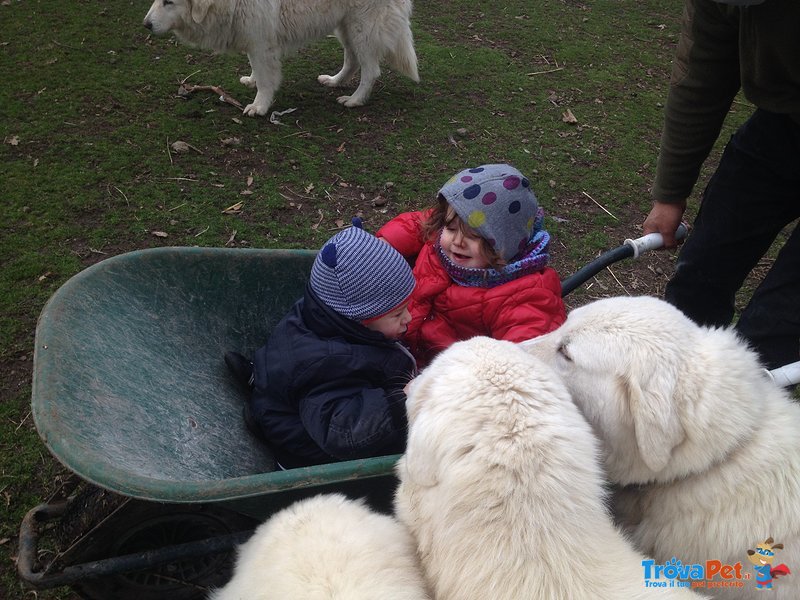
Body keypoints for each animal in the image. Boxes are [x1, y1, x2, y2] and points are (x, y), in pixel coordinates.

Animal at [144, 0, 418, 116]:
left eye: (169, 1)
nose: (146, 24)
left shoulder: (262, 44)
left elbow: (266, 80)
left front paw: (260, 106)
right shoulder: (254, 40)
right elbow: (255, 69)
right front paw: (251, 81)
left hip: (363, 29)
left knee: (370, 71)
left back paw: (355, 100)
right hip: (346, 26)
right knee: (351, 61)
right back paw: (334, 81)